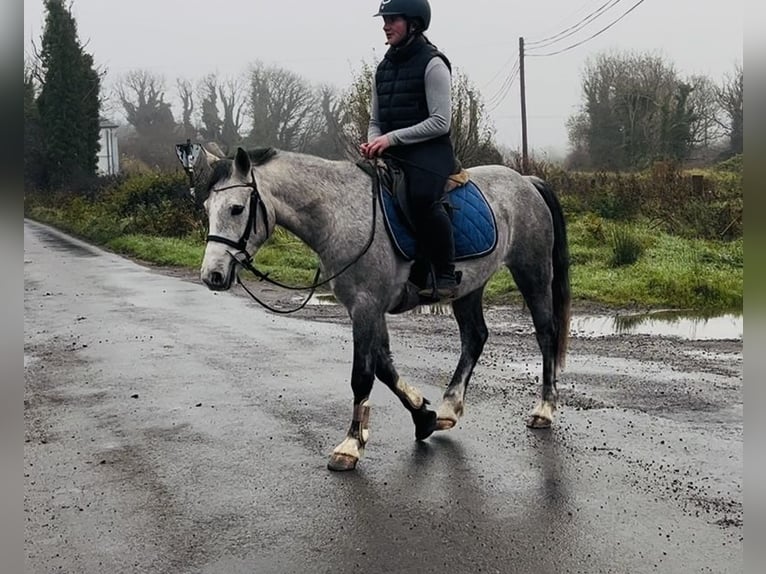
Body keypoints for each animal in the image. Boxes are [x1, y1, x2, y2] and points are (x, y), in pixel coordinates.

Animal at [191, 146, 570, 471]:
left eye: (237, 208)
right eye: (208, 209)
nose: (212, 275)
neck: (339, 214)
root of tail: (526, 181)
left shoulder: (366, 306)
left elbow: (362, 375)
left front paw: (350, 446)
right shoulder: (366, 309)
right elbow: (385, 369)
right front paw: (423, 416)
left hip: (531, 271)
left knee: (545, 333)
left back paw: (544, 409)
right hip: (469, 287)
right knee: (475, 337)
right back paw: (449, 409)